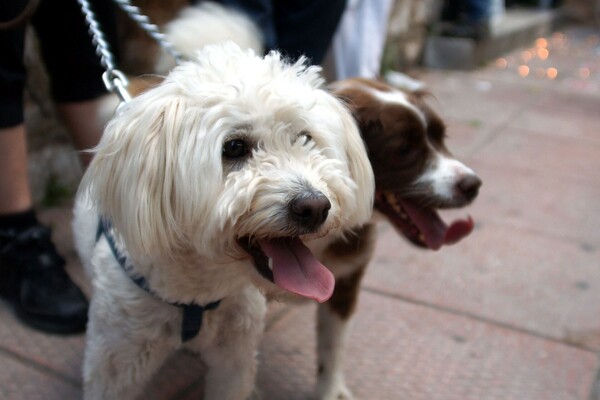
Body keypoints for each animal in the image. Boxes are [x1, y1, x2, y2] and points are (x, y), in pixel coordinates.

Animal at [72, 41, 372, 400]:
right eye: (234, 147)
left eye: (305, 138)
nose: (314, 207)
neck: (198, 292)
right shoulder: (116, 364)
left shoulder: (235, 357)